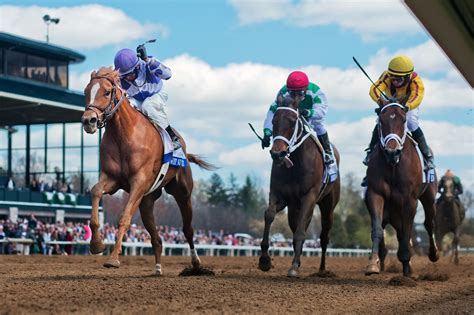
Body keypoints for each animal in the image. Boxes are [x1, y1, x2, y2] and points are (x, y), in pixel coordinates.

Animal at [82, 67, 215, 276]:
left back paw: (196, 264)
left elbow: (124, 217)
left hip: (182, 193)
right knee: (157, 238)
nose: (89, 121)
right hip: (147, 201)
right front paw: (96, 244)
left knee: (188, 229)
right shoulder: (112, 178)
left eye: (106, 92)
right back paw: (158, 268)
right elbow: (95, 191)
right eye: (86, 91)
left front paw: (113, 259)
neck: (124, 134)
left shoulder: (139, 181)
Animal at [260, 95, 340, 278]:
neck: (295, 164)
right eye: (273, 121)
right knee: (296, 226)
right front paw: (264, 260)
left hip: (327, 206)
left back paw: (322, 269)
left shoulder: (308, 197)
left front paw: (294, 267)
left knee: (324, 237)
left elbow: (301, 232)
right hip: (294, 207)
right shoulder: (280, 195)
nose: (278, 154)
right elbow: (269, 215)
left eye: (292, 121)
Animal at [364, 103, 438, 276]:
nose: (392, 151)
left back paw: (433, 254)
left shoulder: (410, 200)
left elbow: (407, 233)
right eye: (381, 120)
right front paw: (372, 264)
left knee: (428, 224)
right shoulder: (375, 194)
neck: (393, 165)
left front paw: (406, 270)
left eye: (403, 120)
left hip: (429, 197)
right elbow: (377, 229)